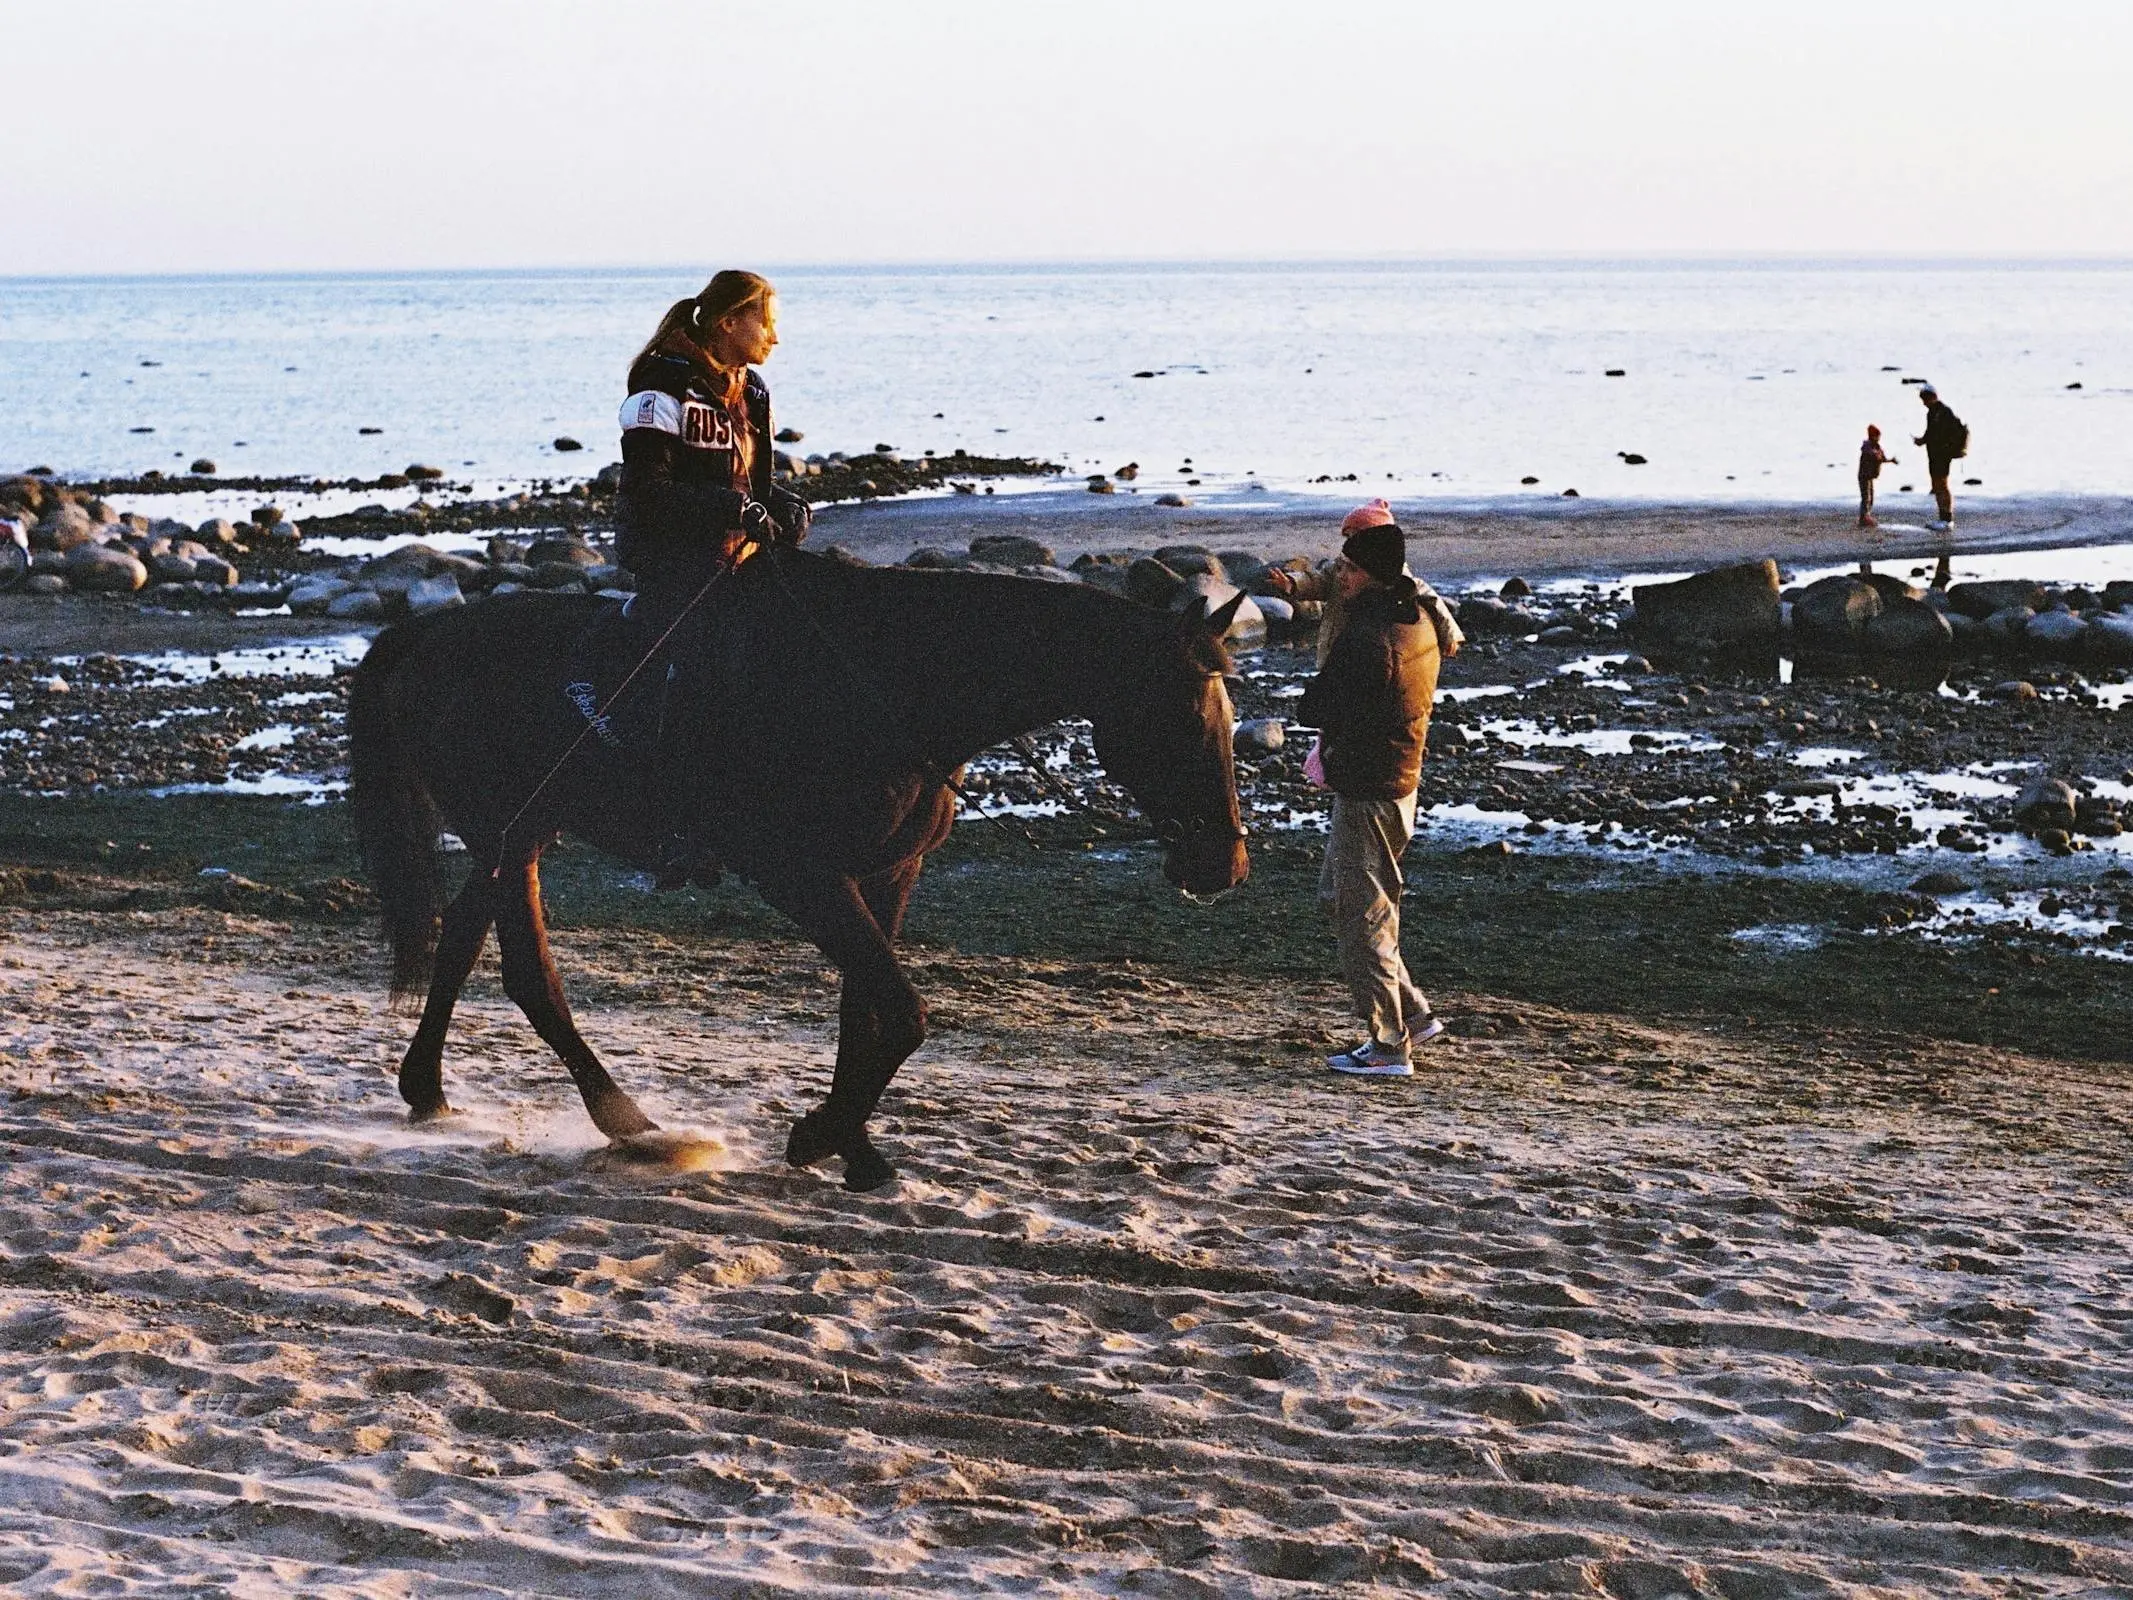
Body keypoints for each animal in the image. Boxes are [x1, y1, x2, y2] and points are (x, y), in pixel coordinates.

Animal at [347, 550, 1245, 1194]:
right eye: (1184, 715)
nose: (1223, 864)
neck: (890, 684)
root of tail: (429, 637)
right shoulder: (799, 875)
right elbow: (905, 1012)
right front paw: (820, 1135)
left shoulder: (887, 874)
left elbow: (866, 1012)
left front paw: (853, 1147)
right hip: (513, 833)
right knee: (529, 973)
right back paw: (625, 1119)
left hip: (518, 833)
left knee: (463, 940)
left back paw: (428, 1090)